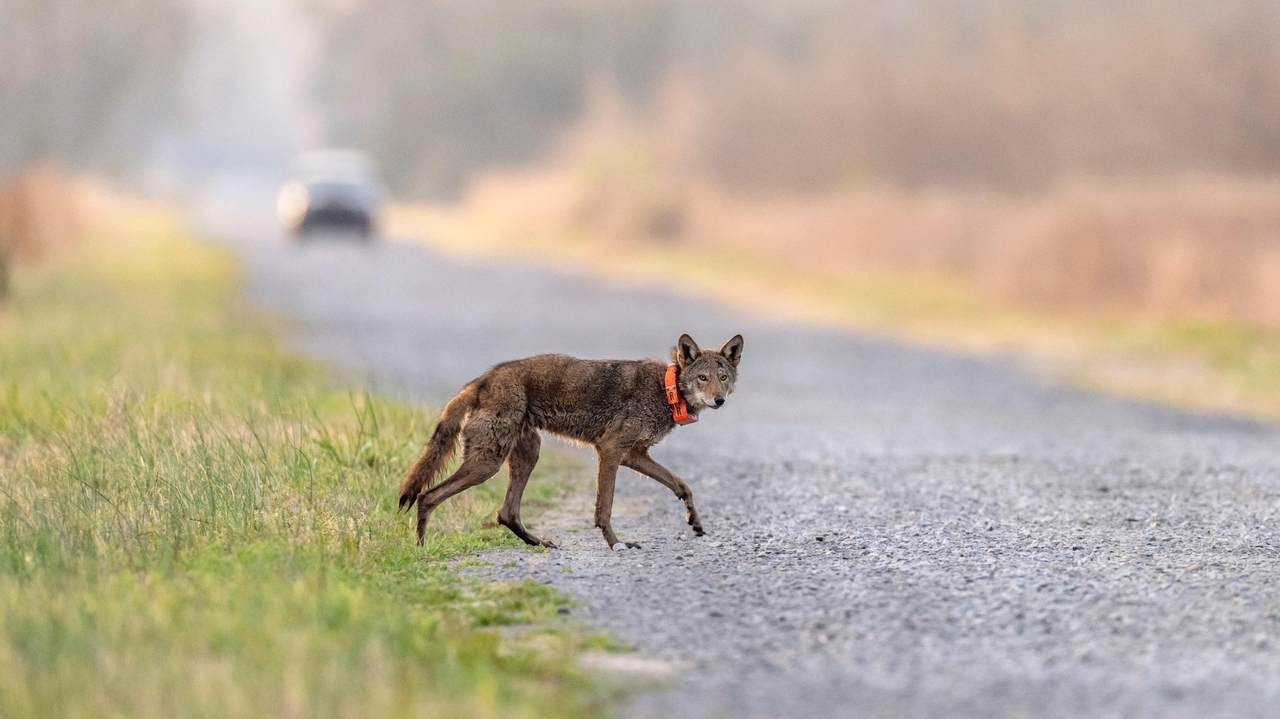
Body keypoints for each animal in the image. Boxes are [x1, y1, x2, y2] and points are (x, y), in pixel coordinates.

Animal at [398, 334, 744, 549]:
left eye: (723, 377)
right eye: (702, 378)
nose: (719, 400)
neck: (666, 389)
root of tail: (483, 379)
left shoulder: (634, 455)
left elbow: (682, 485)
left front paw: (694, 522)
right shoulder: (611, 451)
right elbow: (604, 508)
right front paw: (617, 544)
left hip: (526, 455)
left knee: (506, 513)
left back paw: (539, 543)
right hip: (487, 464)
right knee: (428, 496)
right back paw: (421, 550)